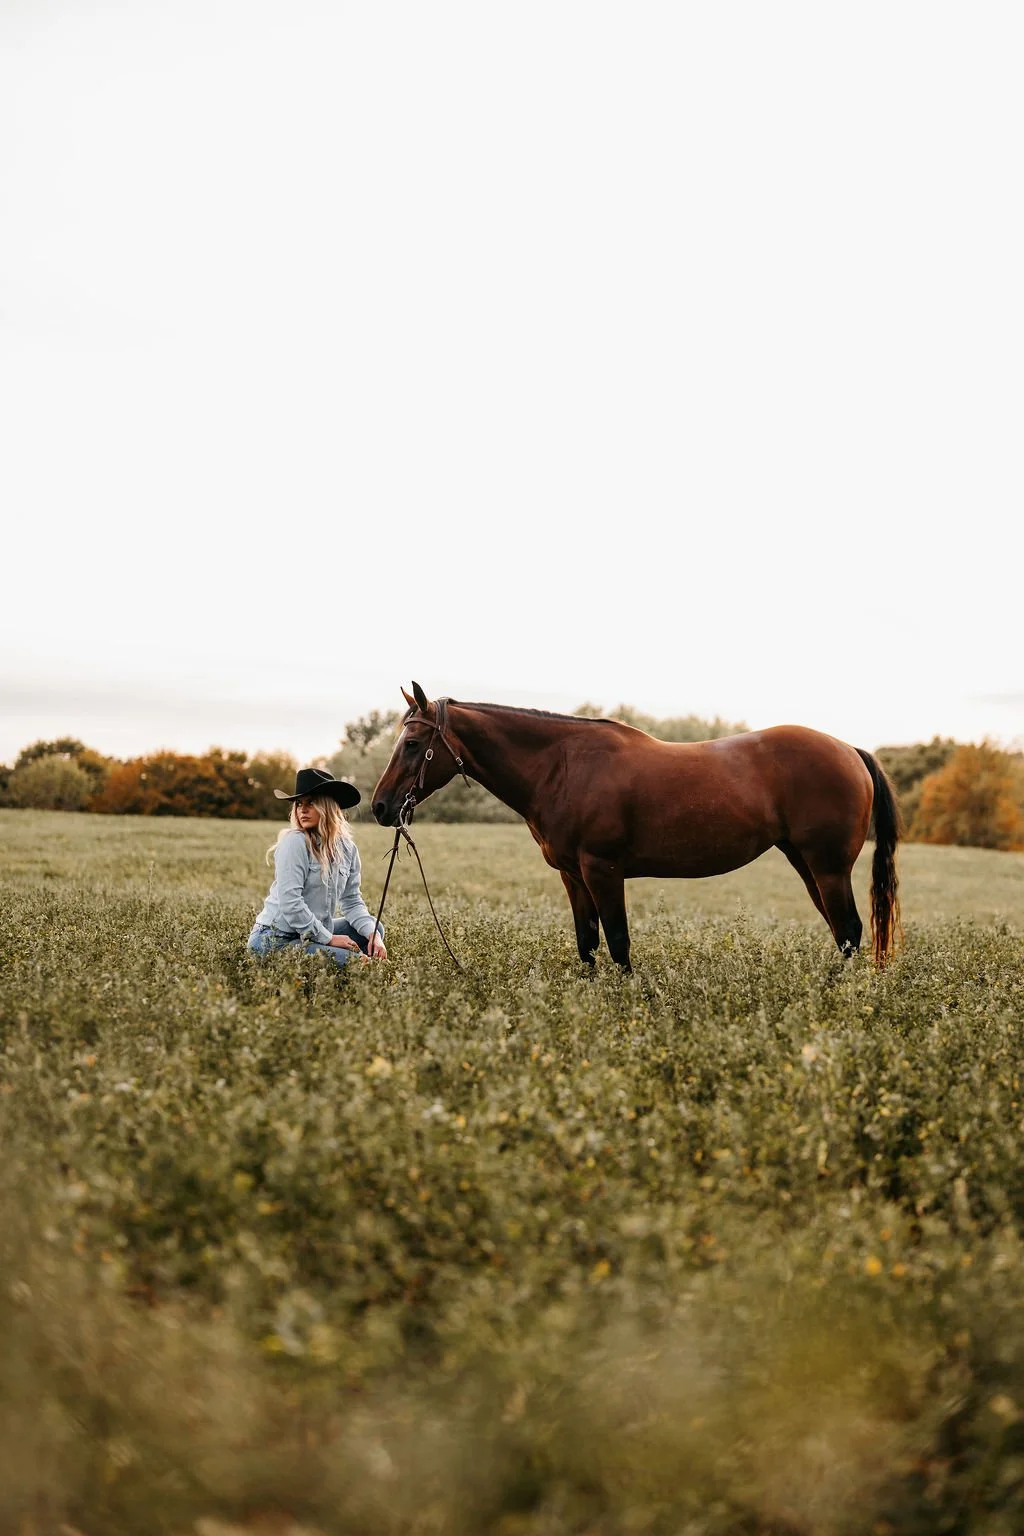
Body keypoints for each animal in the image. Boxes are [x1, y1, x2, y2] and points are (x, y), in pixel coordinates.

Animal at [371, 683, 901, 971]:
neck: (563, 766)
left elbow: (619, 943)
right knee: (842, 932)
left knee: (850, 930)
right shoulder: (573, 876)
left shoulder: (603, 871)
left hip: (827, 867)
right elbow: (587, 944)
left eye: (414, 743)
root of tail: (850, 750)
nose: (380, 806)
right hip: (805, 863)